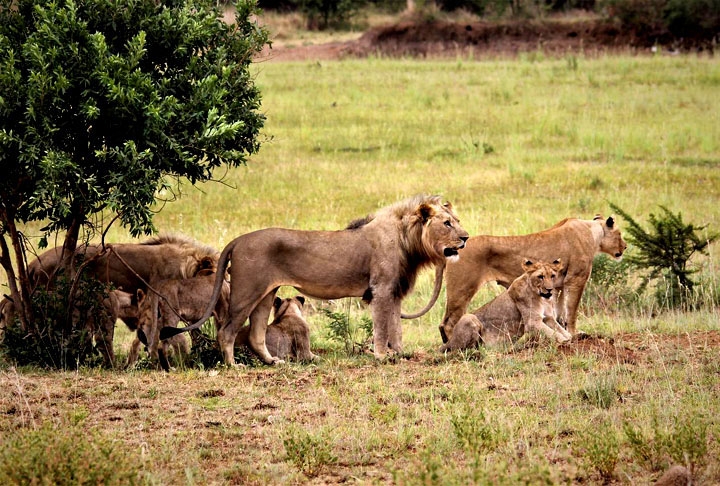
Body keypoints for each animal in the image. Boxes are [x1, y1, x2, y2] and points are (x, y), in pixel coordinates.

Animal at [438, 260, 572, 352]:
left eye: (552, 276)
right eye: (540, 276)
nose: (549, 290)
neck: (541, 298)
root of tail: (449, 341)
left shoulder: (548, 318)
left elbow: (560, 329)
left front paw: (571, 337)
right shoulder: (532, 322)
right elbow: (552, 332)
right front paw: (564, 341)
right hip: (469, 318)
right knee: (463, 349)